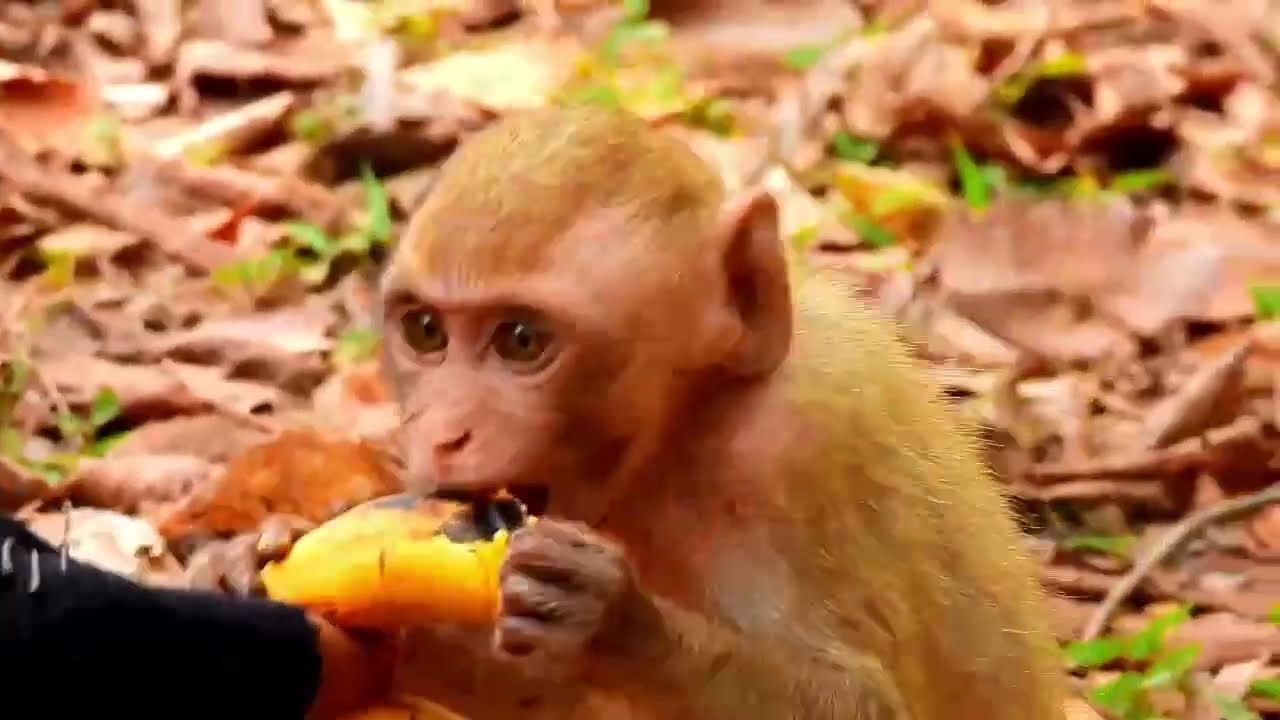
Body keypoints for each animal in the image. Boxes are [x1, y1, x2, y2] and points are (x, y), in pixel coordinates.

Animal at [376, 105, 1067, 720]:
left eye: (521, 340)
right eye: (425, 330)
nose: (441, 434)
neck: (685, 429)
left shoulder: (798, 446)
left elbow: (871, 705)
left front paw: (615, 624)